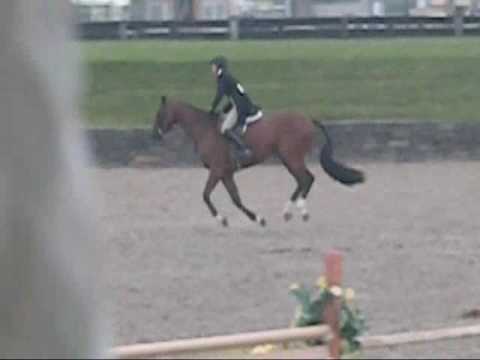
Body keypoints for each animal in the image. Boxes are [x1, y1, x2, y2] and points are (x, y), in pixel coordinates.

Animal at [154, 94, 364, 226]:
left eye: (160, 114)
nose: (155, 135)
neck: (204, 129)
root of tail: (307, 119)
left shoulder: (216, 170)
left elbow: (206, 195)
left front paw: (222, 219)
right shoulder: (226, 173)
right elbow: (235, 199)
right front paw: (257, 219)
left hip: (291, 156)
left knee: (306, 179)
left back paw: (301, 210)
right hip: (287, 158)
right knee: (302, 180)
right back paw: (288, 212)